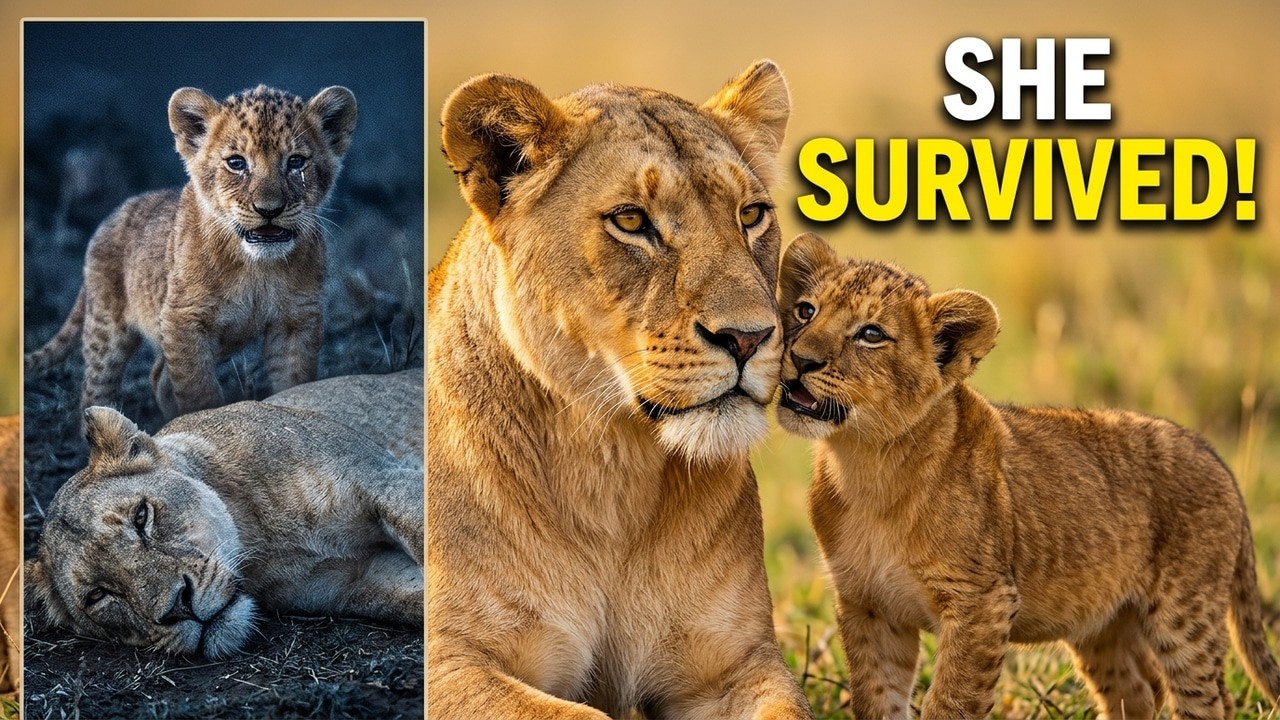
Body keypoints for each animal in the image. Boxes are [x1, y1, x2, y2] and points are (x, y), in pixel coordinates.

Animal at [24, 370, 423, 659]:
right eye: (98, 595)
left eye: (141, 517)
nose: (178, 608)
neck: (263, 546)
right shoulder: (361, 580)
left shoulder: (383, 478)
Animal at [25, 84, 358, 419]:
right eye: (236, 163)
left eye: (296, 162)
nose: (269, 210)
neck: (256, 268)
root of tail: (112, 216)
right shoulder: (182, 319)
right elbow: (198, 388)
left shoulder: (296, 321)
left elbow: (295, 382)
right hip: (107, 328)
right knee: (95, 389)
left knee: (158, 375)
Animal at [427, 62, 813, 718]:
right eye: (631, 221)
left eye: (751, 214)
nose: (748, 337)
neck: (611, 471)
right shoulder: (447, 661)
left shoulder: (734, 665)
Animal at [776, 232, 1280, 720]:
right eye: (805, 310)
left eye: (871, 334)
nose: (799, 358)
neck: (867, 463)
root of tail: (1215, 457)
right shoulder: (870, 606)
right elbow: (876, 700)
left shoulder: (983, 603)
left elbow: (951, 703)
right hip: (1104, 622)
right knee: (1137, 691)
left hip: (1185, 613)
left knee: (1207, 700)